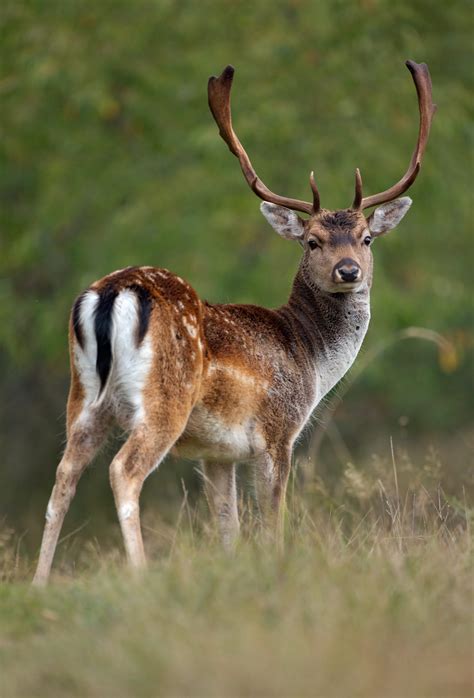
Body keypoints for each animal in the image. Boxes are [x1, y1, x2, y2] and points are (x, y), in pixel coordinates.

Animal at [31, 59, 436, 584]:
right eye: (312, 241)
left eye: (366, 238)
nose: (349, 271)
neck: (310, 357)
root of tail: (112, 292)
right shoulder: (278, 432)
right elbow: (271, 521)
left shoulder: (216, 452)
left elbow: (228, 527)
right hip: (164, 399)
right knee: (123, 471)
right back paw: (140, 574)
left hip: (82, 397)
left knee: (63, 476)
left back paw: (39, 583)